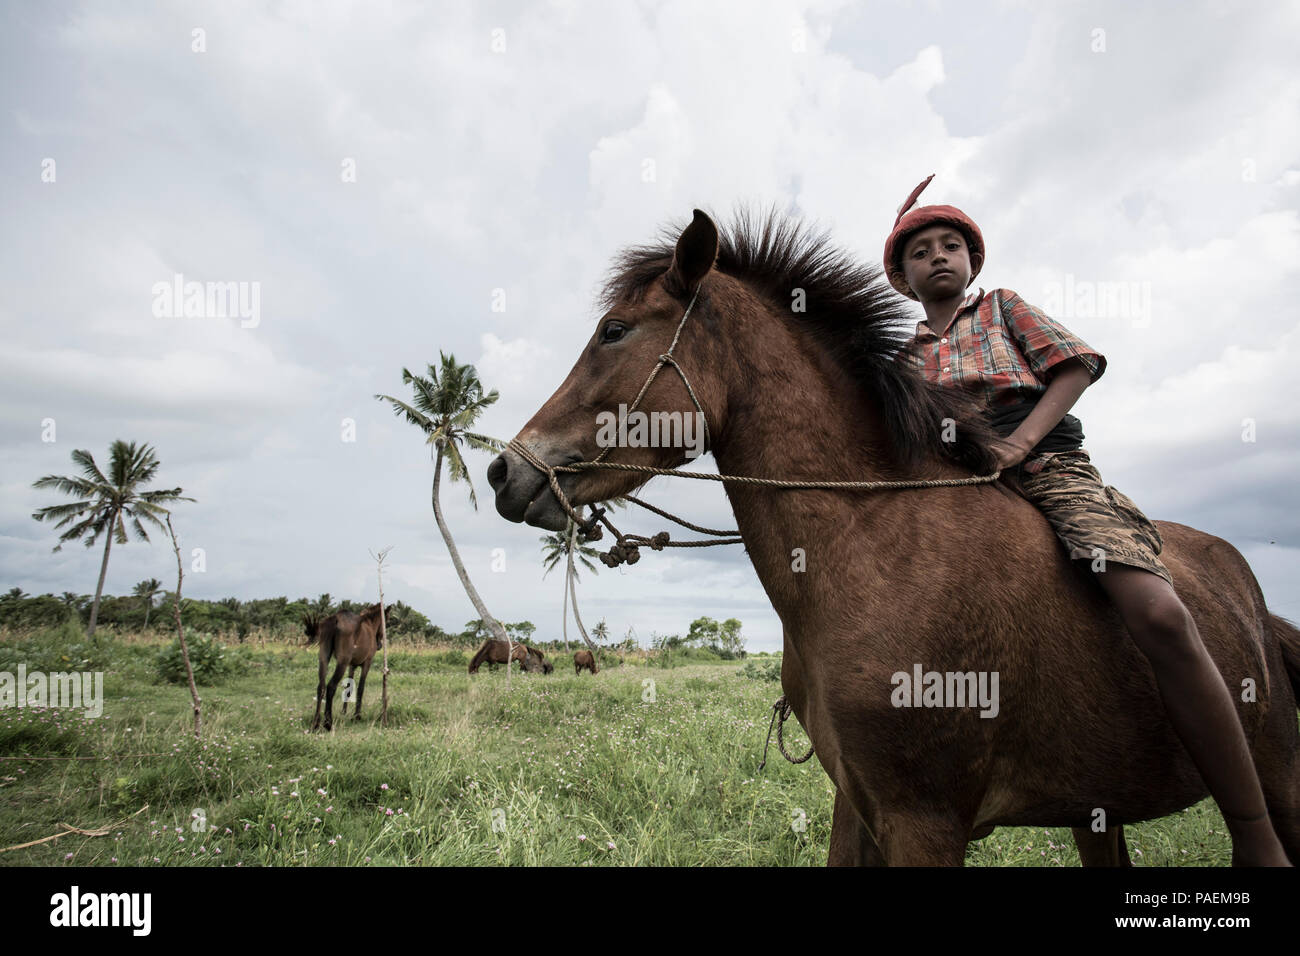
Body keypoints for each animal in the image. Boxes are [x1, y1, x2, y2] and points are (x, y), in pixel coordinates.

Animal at [488, 209, 1300, 868]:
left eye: (613, 331)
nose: (503, 472)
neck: (876, 543)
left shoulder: (924, 819)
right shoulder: (860, 802)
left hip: (1275, 776)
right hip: (1095, 811)